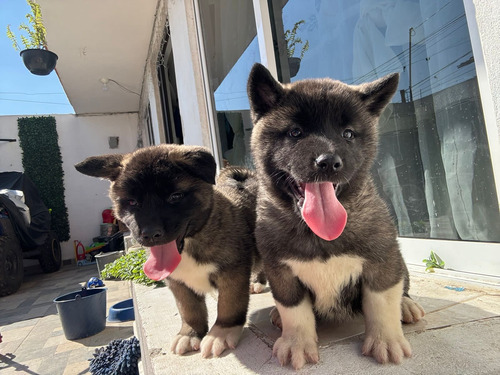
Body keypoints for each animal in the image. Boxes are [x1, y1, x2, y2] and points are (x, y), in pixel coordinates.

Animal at [75, 144, 262, 358]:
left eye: (175, 197)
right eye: (132, 202)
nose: (150, 234)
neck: (191, 243)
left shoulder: (232, 273)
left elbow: (229, 304)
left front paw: (220, 333)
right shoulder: (178, 283)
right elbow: (189, 310)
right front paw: (189, 333)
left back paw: (258, 283)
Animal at [248, 64, 424, 370]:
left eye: (348, 134)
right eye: (295, 132)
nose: (328, 162)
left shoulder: (382, 258)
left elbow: (382, 300)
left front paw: (385, 339)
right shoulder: (280, 272)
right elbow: (294, 309)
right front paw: (296, 341)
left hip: (399, 260)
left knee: (401, 286)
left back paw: (406, 305)